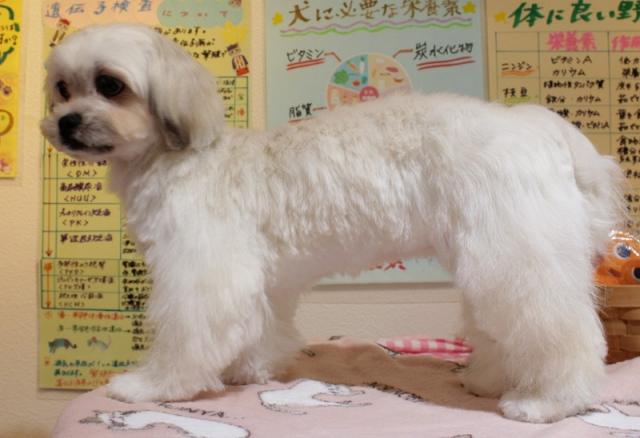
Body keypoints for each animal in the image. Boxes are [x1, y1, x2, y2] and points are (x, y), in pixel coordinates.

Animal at [41, 24, 624, 423]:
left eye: (110, 85)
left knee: (564, 334)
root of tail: (541, 127)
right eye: (62, 89)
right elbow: (256, 330)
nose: (65, 123)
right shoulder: (258, 280)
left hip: (516, 258)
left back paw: (549, 401)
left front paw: (151, 386)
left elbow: (187, 337)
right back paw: (486, 379)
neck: (180, 157)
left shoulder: (201, 273)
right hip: (499, 257)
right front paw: (246, 372)